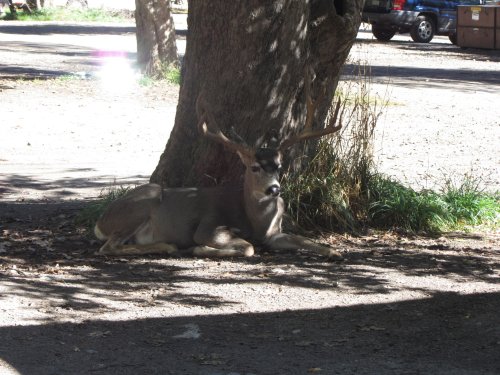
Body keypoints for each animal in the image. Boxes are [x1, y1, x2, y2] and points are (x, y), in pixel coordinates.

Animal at [93, 88, 344, 260]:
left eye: (279, 166)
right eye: (254, 167)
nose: (274, 189)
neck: (255, 220)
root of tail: (100, 221)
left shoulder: (274, 234)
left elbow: (308, 240)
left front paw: (335, 252)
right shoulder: (208, 226)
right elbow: (248, 247)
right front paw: (198, 248)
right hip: (144, 201)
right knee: (108, 247)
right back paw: (168, 246)